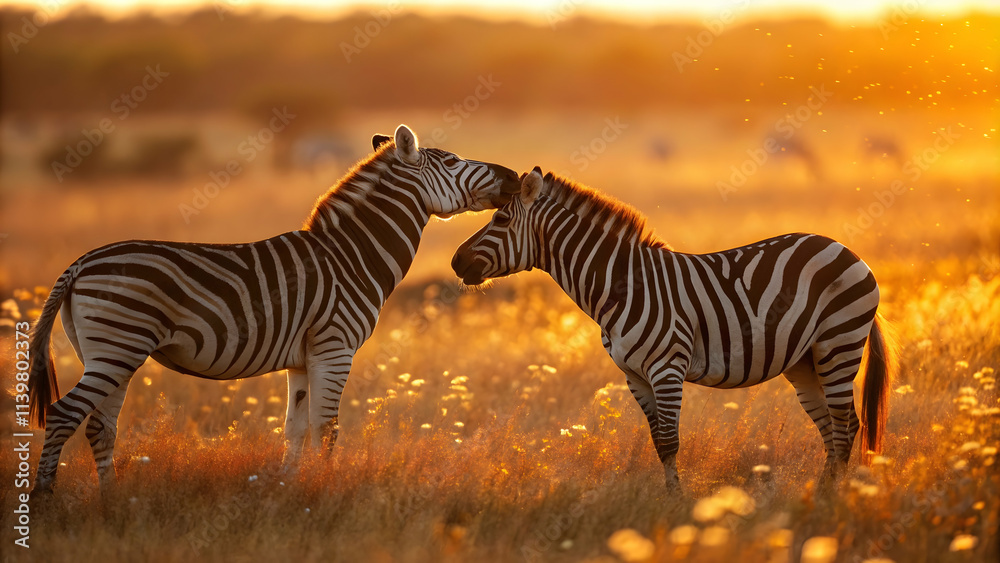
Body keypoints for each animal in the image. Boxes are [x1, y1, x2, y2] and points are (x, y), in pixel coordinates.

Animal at [28, 124, 521, 495]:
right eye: (452, 161)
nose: (515, 175)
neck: (350, 256)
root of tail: (81, 263)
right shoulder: (334, 349)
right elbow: (327, 429)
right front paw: (326, 491)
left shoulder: (302, 360)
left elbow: (294, 429)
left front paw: (288, 489)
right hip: (117, 345)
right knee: (65, 413)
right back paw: (46, 498)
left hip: (110, 352)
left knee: (100, 426)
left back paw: (111, 501)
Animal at [452, 167, 894, 490]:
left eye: (501, 219)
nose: (456, 263)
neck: (621, 285)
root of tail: (846, 250)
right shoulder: (634, 376)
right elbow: (658, 444)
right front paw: (668, 500)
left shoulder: (667, 369)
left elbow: (670, 441)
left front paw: (677, 505)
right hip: (804, 362)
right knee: (831, 429)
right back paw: (820, 496)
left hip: (838, 345)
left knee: (846, 427)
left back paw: (832, 500)